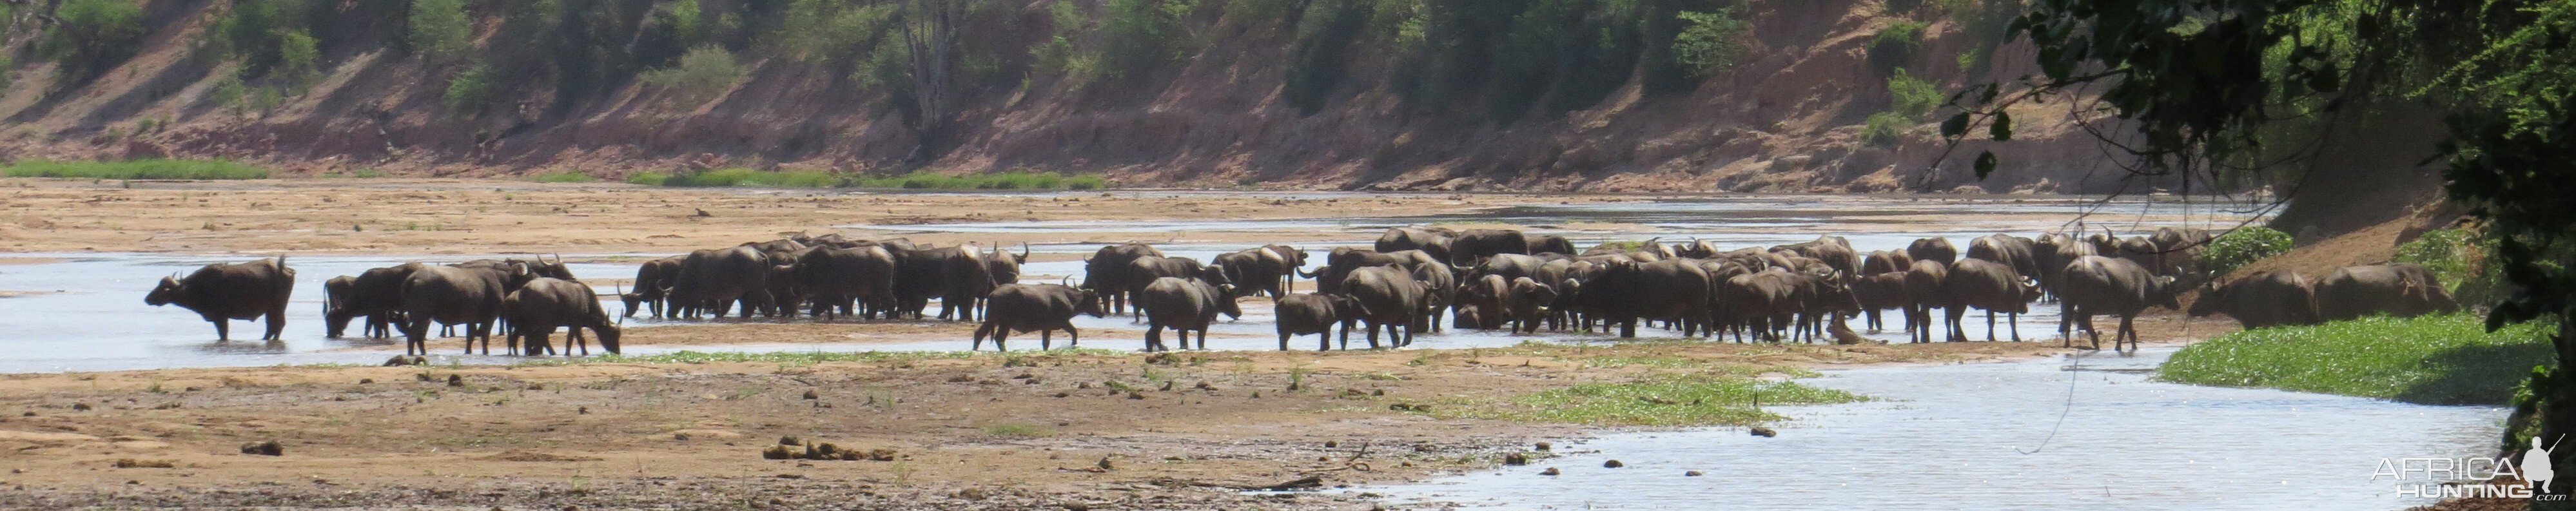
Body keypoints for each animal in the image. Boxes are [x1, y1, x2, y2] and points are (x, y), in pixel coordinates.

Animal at [147, 258, 297, 340]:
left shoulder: (221, 318)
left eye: (164, 289)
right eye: (159, 285)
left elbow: (223, 334)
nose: (147, 299)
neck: (197, 288)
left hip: (278, 306)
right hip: (271, 309)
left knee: (277, 325)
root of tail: (283, 267)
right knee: (273, 326)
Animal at [968, 284, 1102, 351]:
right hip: (1005, 323)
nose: (1102, 313)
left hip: (991, 321)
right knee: (999, 338)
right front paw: (1074, 346)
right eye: (1096, 299)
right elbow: (1075, 333)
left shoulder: (1047, 328)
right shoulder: (1063, 323)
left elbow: (1046, 343)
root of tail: (992, 295)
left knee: (979, 334)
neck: (1068, 298)